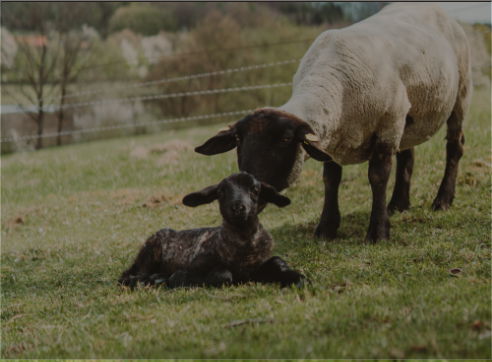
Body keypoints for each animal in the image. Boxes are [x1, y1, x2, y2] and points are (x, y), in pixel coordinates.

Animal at [118, 172, 304, 288]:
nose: (238, 207)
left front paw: (298, 278)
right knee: (128, 276)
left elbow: (277, 261)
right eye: (221, 192)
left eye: (255, 190)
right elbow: (223, 275)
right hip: (148, 255)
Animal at [194, 3, 470, 243]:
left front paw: (378, 232)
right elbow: (331, 179)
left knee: (454, 147)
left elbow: (378, 176)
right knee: (407, 156)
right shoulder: (334, 139)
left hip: (460, 92)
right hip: (407, 118)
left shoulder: (387, 123)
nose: (245, 198)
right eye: (238, 141)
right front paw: (326, 228)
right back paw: (398, 205)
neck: (335, 82)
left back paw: (442, 200)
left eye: (285, 139)